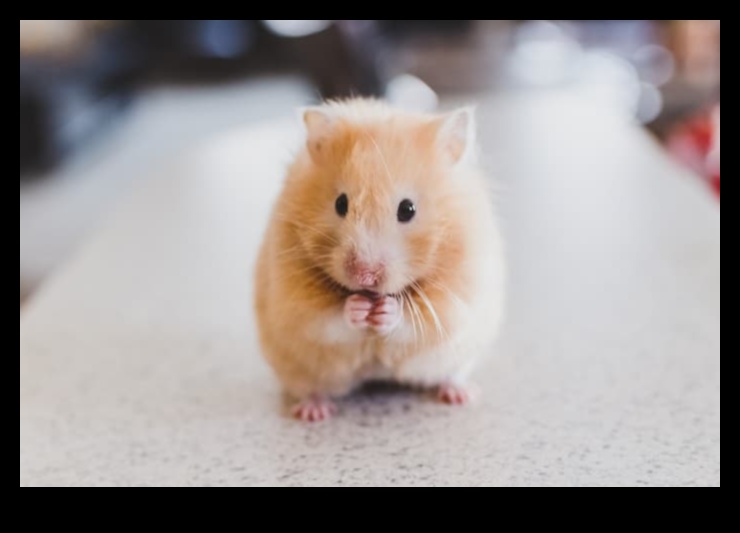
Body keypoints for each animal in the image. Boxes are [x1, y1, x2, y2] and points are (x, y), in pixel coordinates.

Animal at [255, 99, 505, 422]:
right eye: (340, 204)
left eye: (408, 209)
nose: (365, 276)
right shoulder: (295, 301)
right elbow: (326, 319)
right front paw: (358, 308)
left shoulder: (455, 298)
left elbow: (416, 321)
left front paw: (385, 310)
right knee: (310, 388)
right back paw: (314, 412)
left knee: (451, 375)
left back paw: (461, 395)